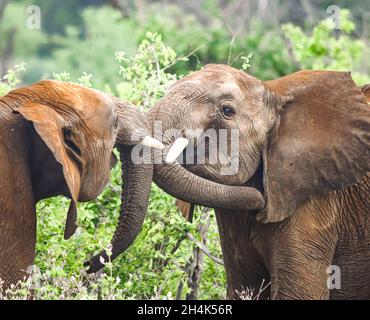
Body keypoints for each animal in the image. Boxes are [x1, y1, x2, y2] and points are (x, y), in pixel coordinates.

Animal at [139, 65, 370, 300]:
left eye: (227, 110)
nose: (261, 201)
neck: (274, 92)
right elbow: (243, 285)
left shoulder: (315, 204)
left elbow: (296, 295)